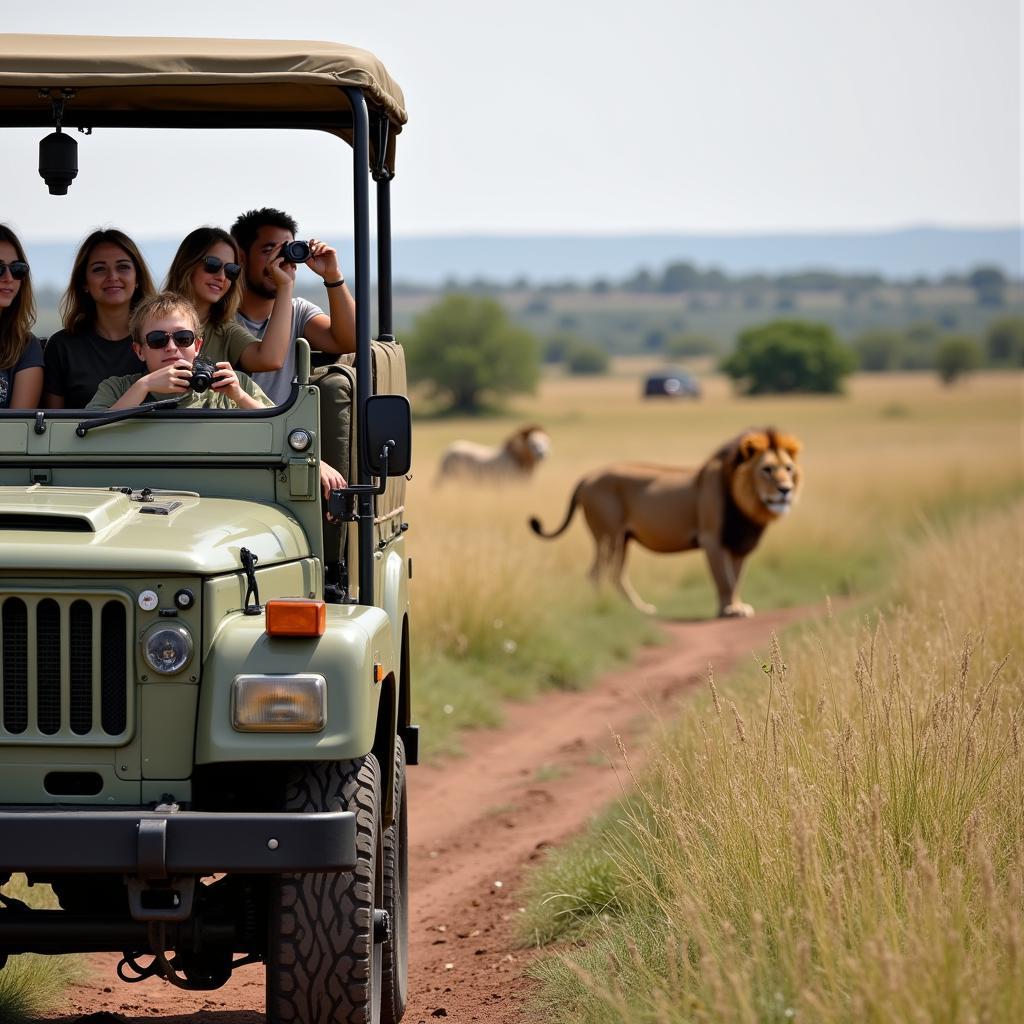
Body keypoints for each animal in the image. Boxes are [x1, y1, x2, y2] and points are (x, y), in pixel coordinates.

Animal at [532, 425, 802, 614]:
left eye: (788, 468)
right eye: (767, 469)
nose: (785, 490)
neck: (747, 506)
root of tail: (587, 477)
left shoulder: (740, 543)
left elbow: (736, 579)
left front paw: (736, 606)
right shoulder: (712, 539)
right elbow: (723, 579)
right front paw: (729, 611)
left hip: (623, 539)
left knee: (616, 574)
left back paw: (639, 610)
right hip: (608, 536)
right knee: (596, 573)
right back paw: (600, 608)